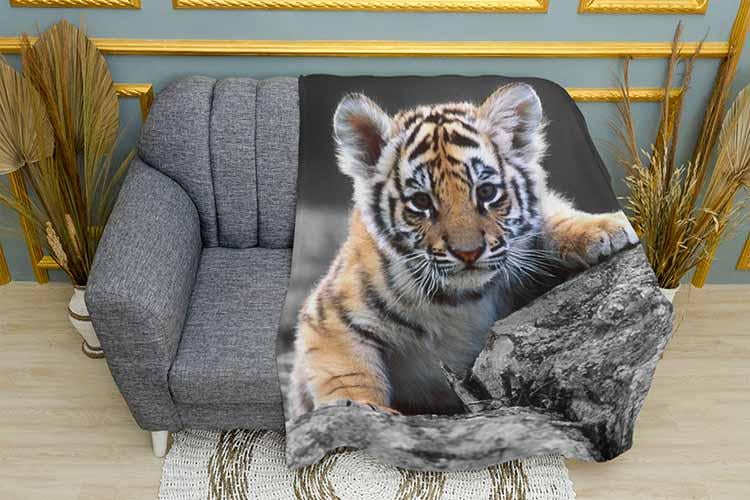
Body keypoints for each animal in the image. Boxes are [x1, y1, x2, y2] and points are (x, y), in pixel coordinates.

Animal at [287, 83, 638, 419]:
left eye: (486, 192)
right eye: (421, 202)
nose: (468, 253)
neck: (460, 301)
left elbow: (548, 220)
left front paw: (606, 228)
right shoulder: (328, 317)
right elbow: (348, 373)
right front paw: (361, 407)